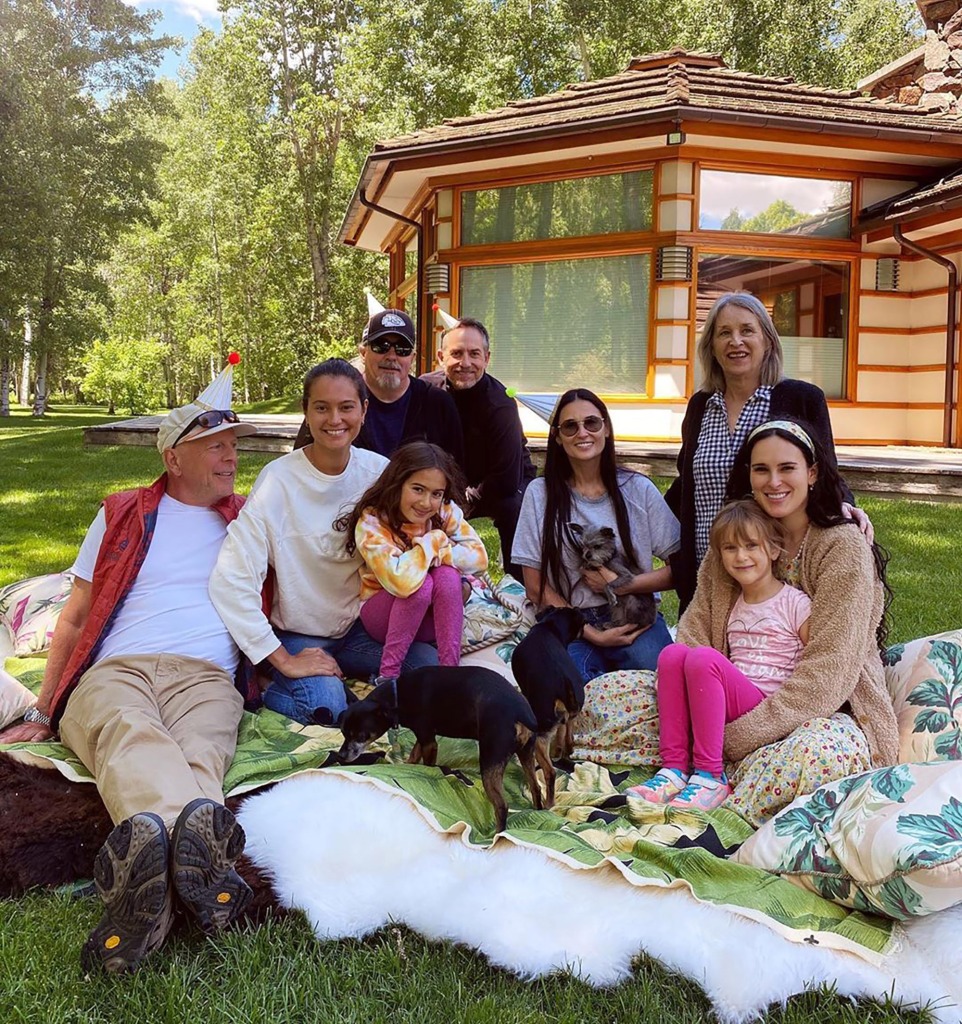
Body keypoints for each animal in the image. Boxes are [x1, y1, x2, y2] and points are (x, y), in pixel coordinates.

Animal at [338, 663, 540, 831]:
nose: (341, 756)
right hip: (526, 753)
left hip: (490, 759)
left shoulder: (429, 742)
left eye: (360, 736)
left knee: (501, 805)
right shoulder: (423, 737)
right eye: (343, 732)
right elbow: (412, 757)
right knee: (536, 787)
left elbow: (427, 766)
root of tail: (521, 713)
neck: (397, 695)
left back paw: (497, 835)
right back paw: (539, 811)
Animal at [512, 606, 586, 806]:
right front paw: (559, 748)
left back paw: (548, 804)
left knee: (550, 772)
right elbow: (563, 735)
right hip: (569, 716)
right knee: (569, 740)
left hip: (538, 736)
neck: (549, 626)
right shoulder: (565, 720)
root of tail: (564, 683)